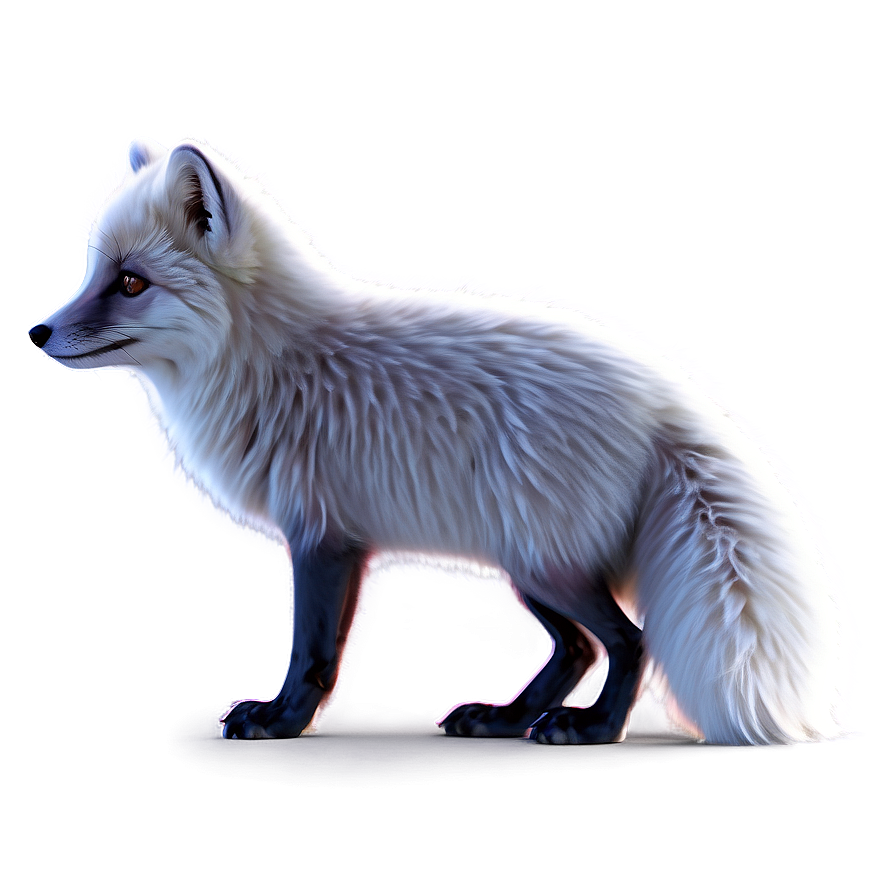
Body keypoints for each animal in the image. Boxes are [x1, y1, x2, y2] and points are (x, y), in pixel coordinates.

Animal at [29, 136, 848, 745]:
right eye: (96, 271)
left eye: (130, 283)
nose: (37, 332)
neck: (274, 363)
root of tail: (660, 391)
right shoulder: (343, 539)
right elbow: (325, 654)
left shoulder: (321, 537)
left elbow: (311, 653)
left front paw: (280, 722)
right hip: (530, 564)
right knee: (580, 647)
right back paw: (506, 719)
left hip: (544, 563)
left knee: (629, 641)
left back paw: (590, 730)